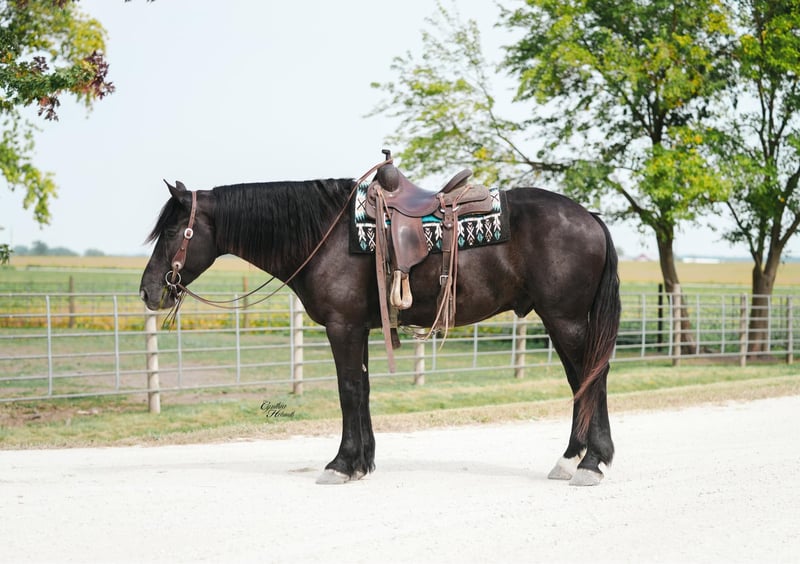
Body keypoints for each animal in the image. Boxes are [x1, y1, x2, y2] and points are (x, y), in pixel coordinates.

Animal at [139, 170, 621, 487]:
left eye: (172, 232)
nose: (148, 291)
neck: (325, 235)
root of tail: (590, 217)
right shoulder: (361, 328)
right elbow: (363, 390)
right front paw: (363, 462)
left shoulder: (343, 327)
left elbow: (348, 390)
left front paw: (341, 464)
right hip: (563, 321)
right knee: (585, 380)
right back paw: (577, 460)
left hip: (566, 320)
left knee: (590, 380)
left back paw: (588, 463)